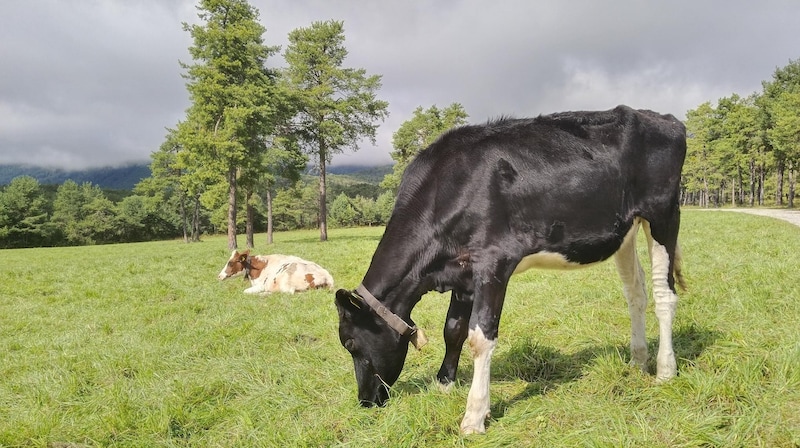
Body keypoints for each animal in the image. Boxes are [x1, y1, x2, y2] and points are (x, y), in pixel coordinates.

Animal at [334, 105, 684, 434]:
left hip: (663, 215)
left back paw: (666, 371)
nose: (365, 401)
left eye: (350, 343)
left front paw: (474, 416)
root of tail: (663, 118)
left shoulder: (493, 262)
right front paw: (444, 385)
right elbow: (453, 329)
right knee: (635, 293)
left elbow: (480, 337)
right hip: (625, 230)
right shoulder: (462, 273)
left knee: (664, 294)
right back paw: (638, 360)